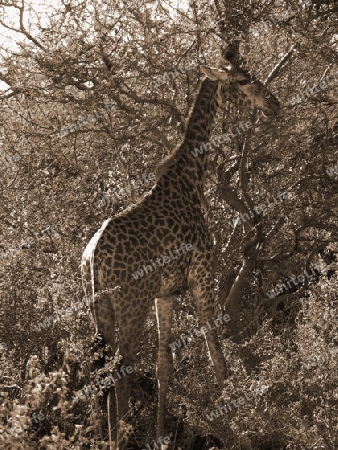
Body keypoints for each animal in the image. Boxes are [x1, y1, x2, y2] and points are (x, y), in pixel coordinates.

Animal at [82, 59, 280, 446]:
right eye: (243, 80)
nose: (273, 103)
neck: (190, 176)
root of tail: (93, 258)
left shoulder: (166, 293)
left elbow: (163, 365)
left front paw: (161, 438)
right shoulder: (202, 275)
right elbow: (216, 353)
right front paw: (243, 427)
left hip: (100, 307)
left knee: (105, 370)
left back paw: (108, 438)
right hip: (131, 302)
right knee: (121, 367)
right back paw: (120, 439)